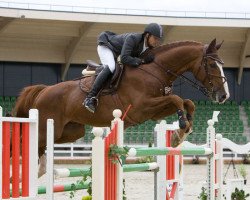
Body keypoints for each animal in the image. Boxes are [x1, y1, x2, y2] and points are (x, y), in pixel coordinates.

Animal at [12, 38, 229, 177]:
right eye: (212, 65)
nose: (224, 96)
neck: (154, 70)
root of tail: (44, 90)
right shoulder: (142, 108)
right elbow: (176, 99)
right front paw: (182, 127)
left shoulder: (153, 111)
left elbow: (186, 102)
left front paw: (182, 131)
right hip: (46, 126)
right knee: (25, 141)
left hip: (71, 131)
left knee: (41, 146)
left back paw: (40, 170)